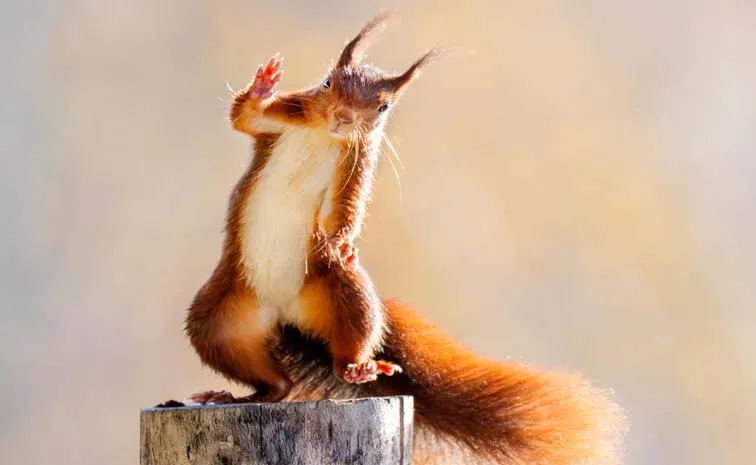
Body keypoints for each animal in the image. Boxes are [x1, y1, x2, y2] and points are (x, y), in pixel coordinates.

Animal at [165, 11, 625, 465]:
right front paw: (264, 83)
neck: (326, 135)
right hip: (221, 321)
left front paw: (342, 242)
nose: (344, 117)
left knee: (340, 348)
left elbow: (344, 209)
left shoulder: (356, 164)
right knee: (269, 381)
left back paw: (356, 368)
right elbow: (244, 116)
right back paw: (230, 395)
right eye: (328, 83)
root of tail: (283, 315)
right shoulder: (282, 117)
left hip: (344, 294)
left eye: (383, 106)